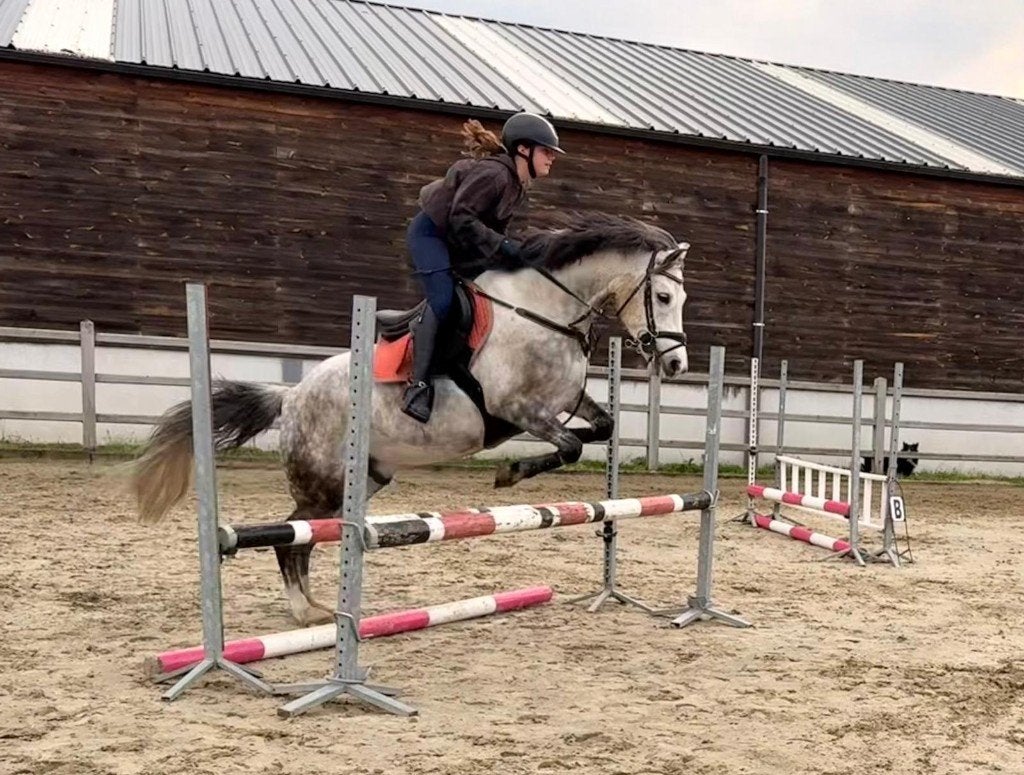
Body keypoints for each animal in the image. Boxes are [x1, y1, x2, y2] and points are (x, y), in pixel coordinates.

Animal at [132, 213, 692, 625]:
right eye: (663, 297)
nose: (676, 365)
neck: (546, 312)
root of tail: (290, 397)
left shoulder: (566, 399)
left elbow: (602, 428)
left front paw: (519, 471)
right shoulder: (514, 409)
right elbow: (570, 445)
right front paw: (508, 473)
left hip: (362, 480)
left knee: (303, 536)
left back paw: (312, 607)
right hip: (323, 481)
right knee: (290, 538)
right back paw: (304, 612)